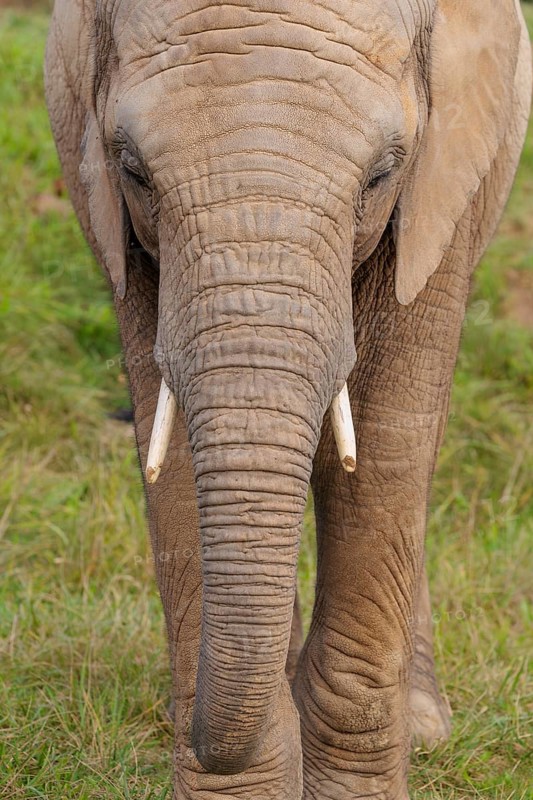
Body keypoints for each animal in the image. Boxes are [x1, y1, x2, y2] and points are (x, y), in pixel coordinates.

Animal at [45, 1, 531, 798]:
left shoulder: (442, 190)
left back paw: (424, 725)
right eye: (133, 171)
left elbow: (385, 448)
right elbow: (174, 456)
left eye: (382, 173)